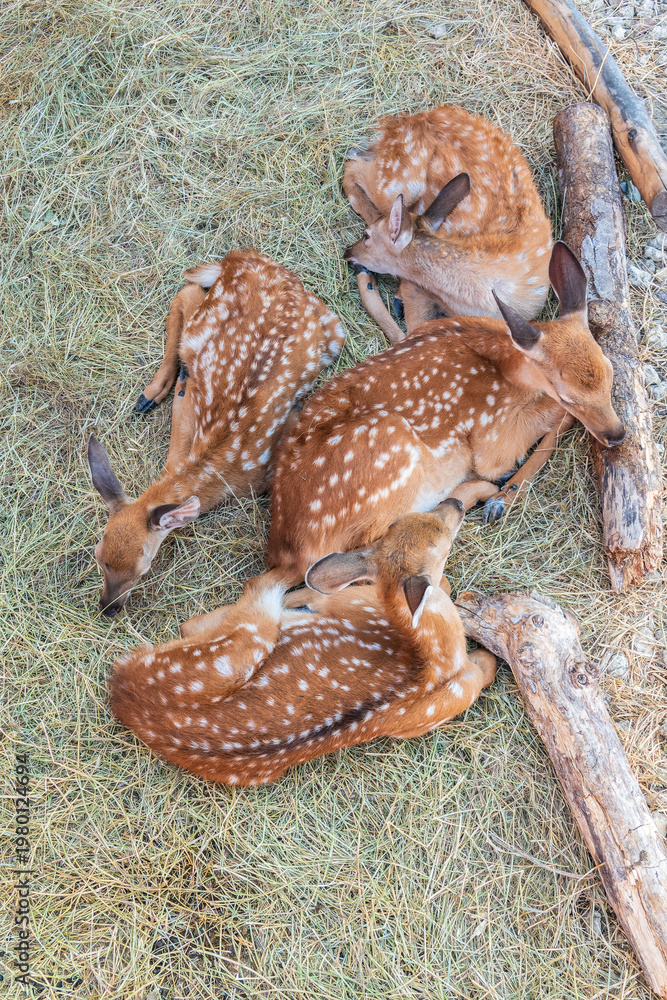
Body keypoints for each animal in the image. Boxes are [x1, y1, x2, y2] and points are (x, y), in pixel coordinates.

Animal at [88, 249, 345, 618]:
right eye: (98, 556)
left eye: (143, 570)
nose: (108, 608)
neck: (221, 464)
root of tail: (246, 257)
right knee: (186, 294)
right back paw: (151, 392)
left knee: (187, 292)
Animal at [109, 498, 497, 786]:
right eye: (441, 540)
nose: (456, 502)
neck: (431, 654)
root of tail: (124, 690)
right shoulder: (350, 602)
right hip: (249, 639)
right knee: (246, 594)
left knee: (205, 618)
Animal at [342, 105, 553, 343]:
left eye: (366, 235)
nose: (348, 253)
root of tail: (401, 122)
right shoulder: (416, 287)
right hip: (396, 183)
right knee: (352, 164)